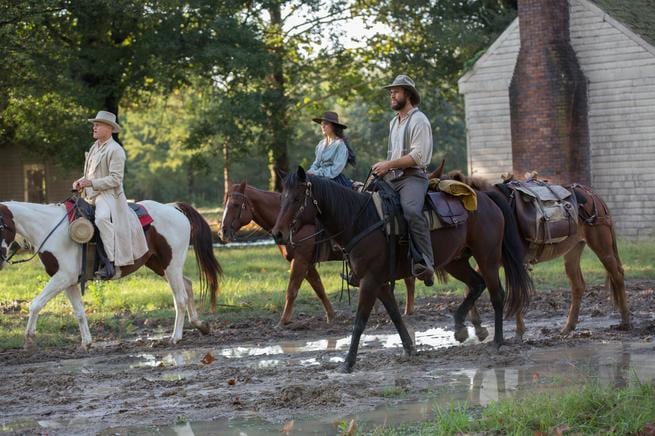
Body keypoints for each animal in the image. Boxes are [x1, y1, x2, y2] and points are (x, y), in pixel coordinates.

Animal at [0, 201, 223, 350]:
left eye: (1, 225)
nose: (0, 258)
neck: (50, 229)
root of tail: (174, 208)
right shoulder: (69, 281)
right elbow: (79, 312)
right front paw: (86, 343)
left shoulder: (62, 278)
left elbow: (36, 304)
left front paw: (29, 338)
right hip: (160, 265)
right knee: (188, 285)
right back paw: (201, 326)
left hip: (172, 264)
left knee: (180, 298)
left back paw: (176, 337)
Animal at [218, 181, 418, 328]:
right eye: (225, 204)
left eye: (235, 204)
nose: (222, 233)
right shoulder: (307, 263)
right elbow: (319, 288)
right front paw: (331, 316)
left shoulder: (300, 260)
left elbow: (292, 290)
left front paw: (283, 321)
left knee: (409, 278)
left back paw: (408, 310)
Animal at [272, 169, 532, 372]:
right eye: (282, 197)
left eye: (297, 198)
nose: (278, 233)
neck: (360, 220)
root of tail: (486, 197)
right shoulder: (379, 283)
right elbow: (395, 315)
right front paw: (409, 348)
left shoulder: (369, 281)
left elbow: (360, 322)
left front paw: (347, 363)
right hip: (456, 261)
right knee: (476, 284)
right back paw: (460, 328)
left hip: (487, 257)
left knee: (497, 294)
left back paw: (498, 341)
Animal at [436, 168, 636, 338]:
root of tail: (594, 196)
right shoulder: (492, 261)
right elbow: (471, 287)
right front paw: (479, 328)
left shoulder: (507, 261)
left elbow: (514, 289)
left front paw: (518, 331)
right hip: (573, 251)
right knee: (578, 285)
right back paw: (568, 327)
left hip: (602, 245)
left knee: (617, 274)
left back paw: (625, 321)